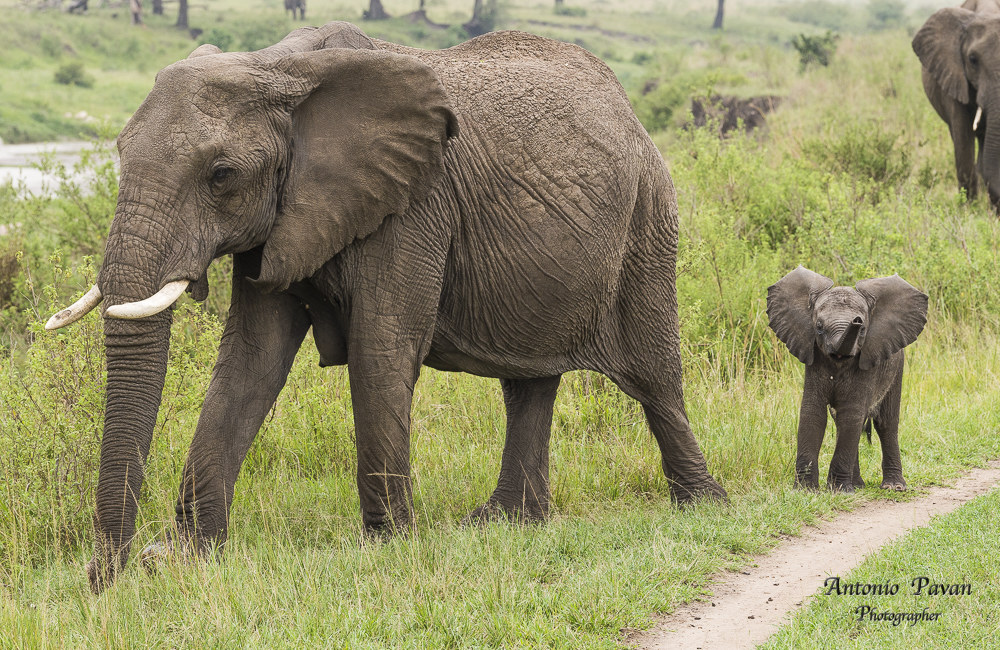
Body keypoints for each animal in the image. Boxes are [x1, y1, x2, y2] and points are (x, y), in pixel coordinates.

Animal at [45, 21, 727, 594]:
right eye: (119, 154)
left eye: (221, 174)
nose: (103, 577)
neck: (277, 66)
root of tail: (629, 108)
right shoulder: (283, 220)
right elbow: (249, 365)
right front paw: (184, 557)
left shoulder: (412, 203)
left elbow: (382, 349)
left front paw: (389, 546)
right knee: (527, 382)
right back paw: (505, 523)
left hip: (647, 216)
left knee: (654, 375)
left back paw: (704, 504)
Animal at [766, 266, 928, 493]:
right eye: (819, 327)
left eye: (862, 328)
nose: (856, 320)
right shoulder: (814, 357)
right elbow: (812, 413)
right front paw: (805, 490)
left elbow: (851, 413)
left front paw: (838, 490)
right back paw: (858, 485)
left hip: (897, 369)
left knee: (886, 423)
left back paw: (893, 487)